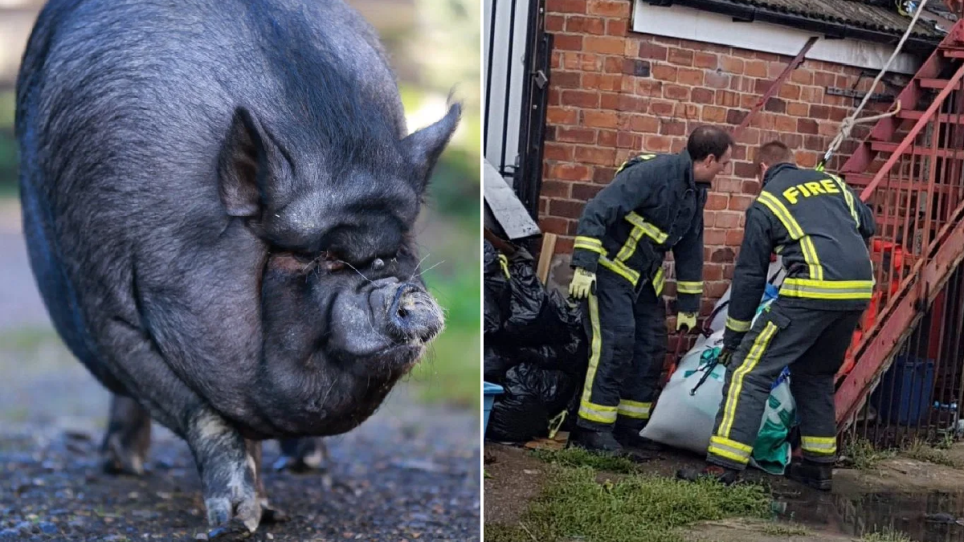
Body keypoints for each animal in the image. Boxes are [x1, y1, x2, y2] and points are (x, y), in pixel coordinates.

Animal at [17, 0, 462, 536]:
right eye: (326, 256)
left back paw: (305, 466)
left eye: (396, 250)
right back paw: (123, 467)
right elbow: (208, 418)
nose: (404, 293)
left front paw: (267, 508)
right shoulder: (111, 320)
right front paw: (239, 522)